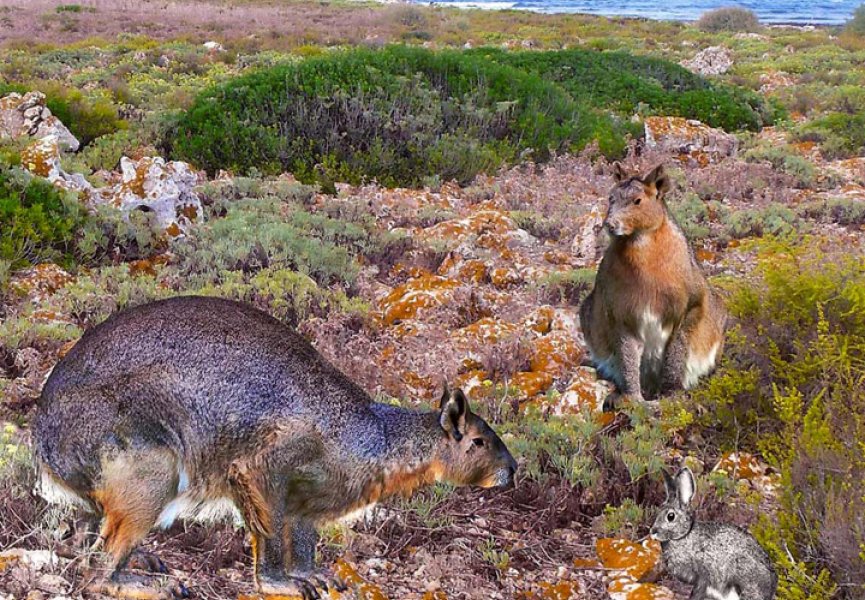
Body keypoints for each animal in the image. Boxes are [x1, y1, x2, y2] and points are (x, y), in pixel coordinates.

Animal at [648, 468, 776, 600]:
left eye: (670, 516)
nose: (652, 532)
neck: (684, 535)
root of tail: (771, 588)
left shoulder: (703, 575)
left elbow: (698, 591)